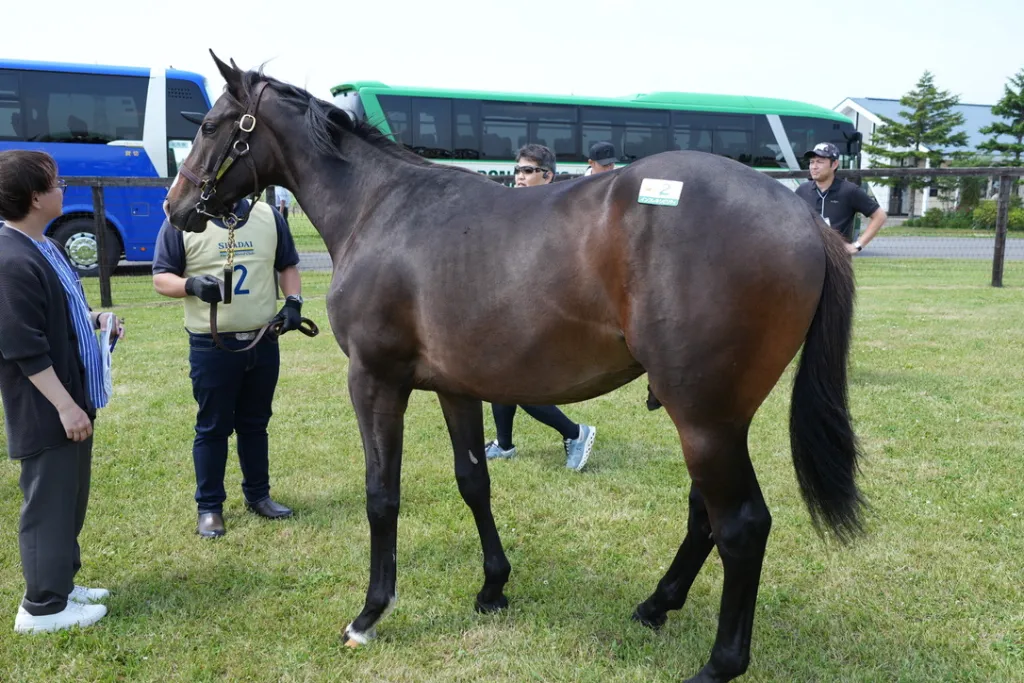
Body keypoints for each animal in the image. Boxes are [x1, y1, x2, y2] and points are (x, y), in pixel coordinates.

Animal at [165, 51, 865, 683]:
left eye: (209, 125)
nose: (177, 207)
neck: (381, 208)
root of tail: (801, 217)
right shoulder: (455, 387)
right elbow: (474, 481)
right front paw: (493, 588)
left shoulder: (375, 381)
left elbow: (381, 495)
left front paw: (369, 615)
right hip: (716, 417)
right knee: (706, 517)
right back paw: (655, 605)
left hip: (703, 418)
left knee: (741, 526)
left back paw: (718, 664)